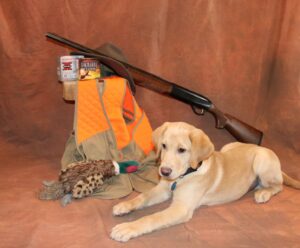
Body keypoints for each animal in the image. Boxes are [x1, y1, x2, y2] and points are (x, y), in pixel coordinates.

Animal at [110, 122, 300, 242]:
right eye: (163, 146)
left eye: (182, 150)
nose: (164, 171)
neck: (185, 175)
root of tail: (259, 146)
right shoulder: (163, 189)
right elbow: (143, 196)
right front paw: (125, 205)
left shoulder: (181, 208)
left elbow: (153, 217)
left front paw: (127, 228)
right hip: (228, 146)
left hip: (262, 161)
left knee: (278, 186)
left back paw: (263, 193)